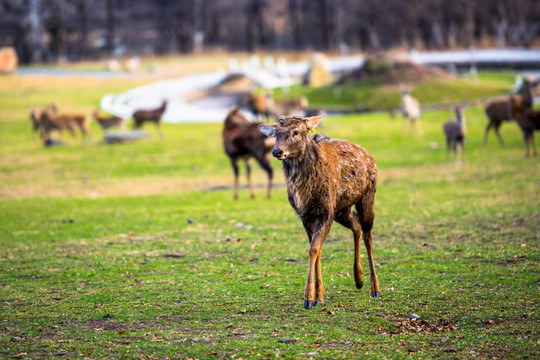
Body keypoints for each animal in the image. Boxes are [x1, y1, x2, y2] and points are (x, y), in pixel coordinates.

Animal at [258, 114, 380, 308]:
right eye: (276, 133)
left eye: (296, 131)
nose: (277, 151)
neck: (304, 192)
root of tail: (370, 156)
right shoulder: (305, 215)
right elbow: (316, 248)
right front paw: (318, 296)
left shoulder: (325, 211)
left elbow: (314, 249)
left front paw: (310, 298)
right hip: (342, 209)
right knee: (356, 225)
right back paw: (359, 279)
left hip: (367, 196)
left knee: (368, 234)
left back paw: (374, 288)